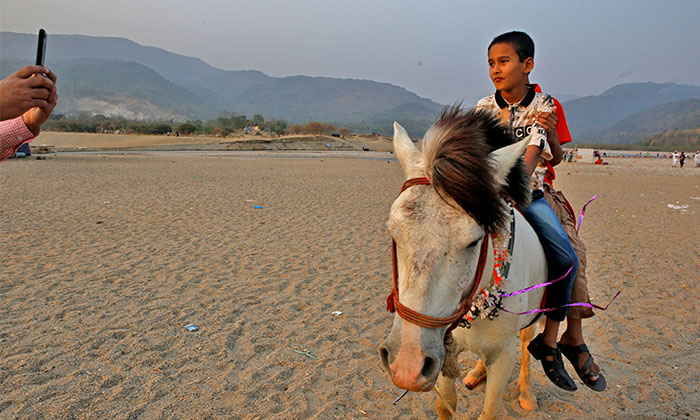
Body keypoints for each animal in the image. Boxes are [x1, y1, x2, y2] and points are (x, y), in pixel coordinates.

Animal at [380, 107, 548, 420]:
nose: (407, 366)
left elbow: (491, 411)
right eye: (393, 233)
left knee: (526, 342)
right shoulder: (445, 348)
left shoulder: (504, 355)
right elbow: (446, 403)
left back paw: (526, 393)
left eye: (474, 241)